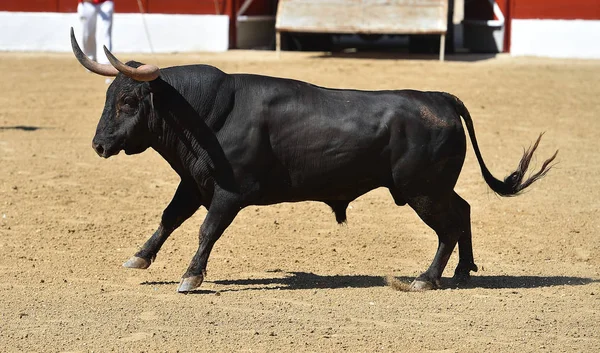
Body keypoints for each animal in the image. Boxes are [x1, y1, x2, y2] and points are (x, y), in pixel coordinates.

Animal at [68, 28, 556, 292]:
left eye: (129, 101)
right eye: (110, 98)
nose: (98, 145)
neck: (209, 113)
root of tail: (440, 97)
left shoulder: (228, 193)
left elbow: (206, 231)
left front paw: (190, 277)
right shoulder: (194, 182)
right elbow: (170, 217)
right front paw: (139, 258)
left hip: (421, 191)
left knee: (449, 226)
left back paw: (426, 277)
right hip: (432, 188)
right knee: (464, 211)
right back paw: (462, 273)